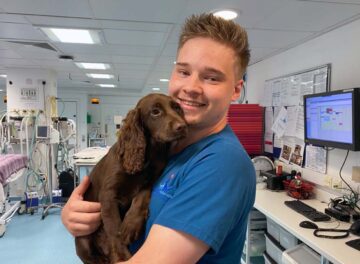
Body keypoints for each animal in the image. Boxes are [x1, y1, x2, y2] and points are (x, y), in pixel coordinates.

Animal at [74, 94, 187, 264]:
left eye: (177, 108)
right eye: (155, 112)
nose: (183, 126)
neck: (148, 155)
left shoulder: (152, 180)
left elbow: (141, 196)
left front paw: (132, 224)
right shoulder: (108, 194)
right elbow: (114, 228)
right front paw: (122, 256)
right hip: (83, 243)